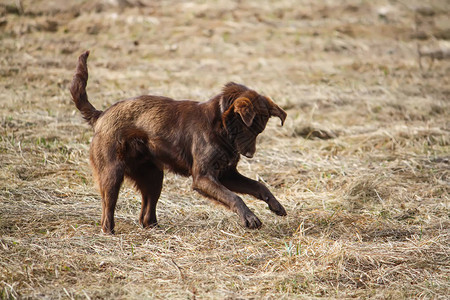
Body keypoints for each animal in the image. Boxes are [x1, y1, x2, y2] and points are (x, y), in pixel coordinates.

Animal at [70, 51, 288, 234]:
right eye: (249, 128)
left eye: (259, 131)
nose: (250, 154)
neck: (220, 126)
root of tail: (101, 115)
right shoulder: (203, 177)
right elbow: (235, 196)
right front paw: (249, 218)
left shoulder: (227, 175)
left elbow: (258, 186)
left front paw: (276, 205)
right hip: (112, 173)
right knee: (108, 208)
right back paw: (110, 233)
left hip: (153, 176)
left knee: (146, 214)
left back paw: (156, 229)